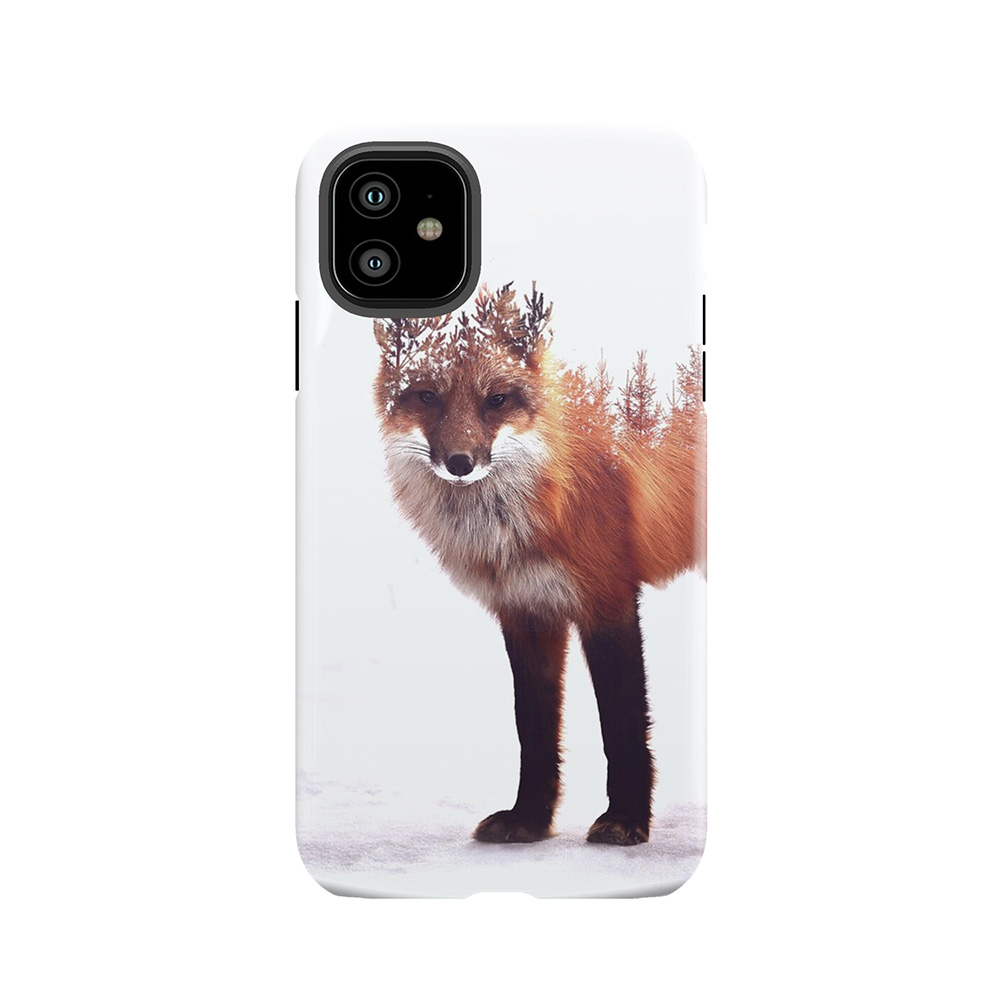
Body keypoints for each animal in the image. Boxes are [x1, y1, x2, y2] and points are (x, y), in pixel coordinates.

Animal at [373, 284, 705, 846]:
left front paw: (627, 819)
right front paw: (528, 818)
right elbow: (532, 727)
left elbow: (622, 723)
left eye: (496, 400)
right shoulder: (526, 609)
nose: (460, 463)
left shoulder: (608, 598)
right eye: (427, 396)